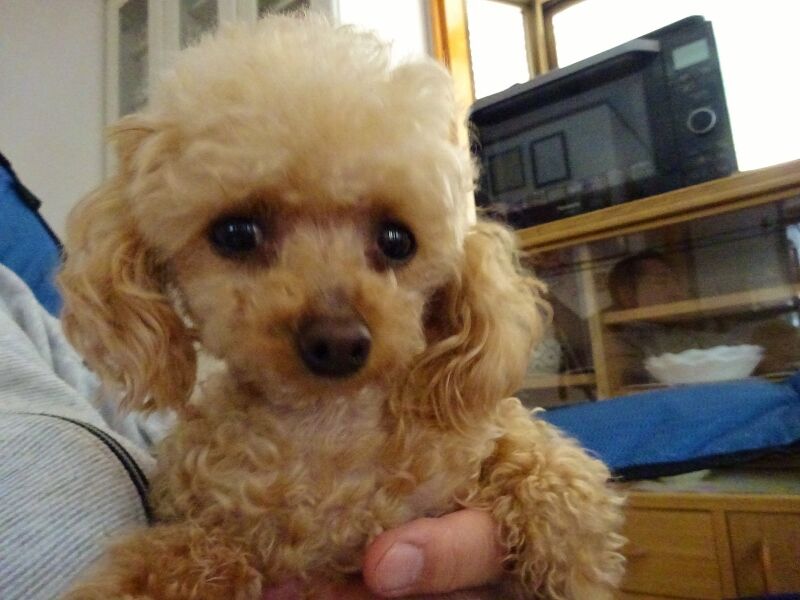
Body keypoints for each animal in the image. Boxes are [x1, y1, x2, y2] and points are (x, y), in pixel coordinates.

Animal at [59, 15, 625, 599]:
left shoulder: (486, 444)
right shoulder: (207, 523)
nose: (338, 342)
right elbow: (178, 558)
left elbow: (551, 475)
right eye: (235, 233)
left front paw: (568, 562)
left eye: (397, 240)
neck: (328, 429)